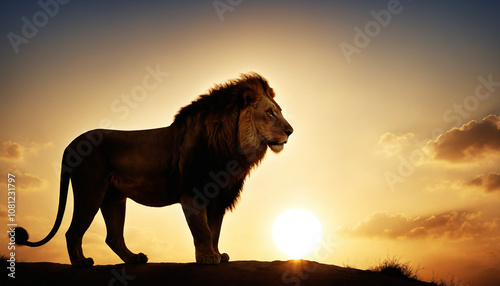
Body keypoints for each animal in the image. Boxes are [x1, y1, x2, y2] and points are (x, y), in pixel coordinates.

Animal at [15, 72, 292, 268]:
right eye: (270, 113)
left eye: (279, 111)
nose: (290, 131)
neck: (232, 146)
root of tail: (70, 144)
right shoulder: (194, 194)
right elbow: (203, 230)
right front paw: (207, 258)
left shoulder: (220, 198)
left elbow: (215, 230)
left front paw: (217, 254)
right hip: (90, 191)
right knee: (72, 232)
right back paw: (81, 263)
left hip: (114, 197)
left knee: (112, 237)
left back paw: (134, 259)